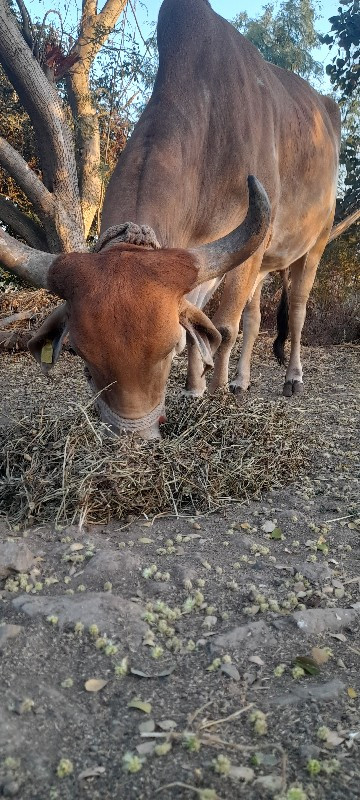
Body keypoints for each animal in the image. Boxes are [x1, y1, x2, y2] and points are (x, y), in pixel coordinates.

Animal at [0, 0, 344, 438]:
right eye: (81, 357)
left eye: (170, 350)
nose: (133, 437)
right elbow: (206, 323)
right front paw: (196, 388)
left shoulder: (246, 251)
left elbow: (222, 328)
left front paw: (215, 394)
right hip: (265, 263)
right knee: (254, 316)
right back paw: (241, 379)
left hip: (313, 245)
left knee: (296, 310)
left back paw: (290, 378)